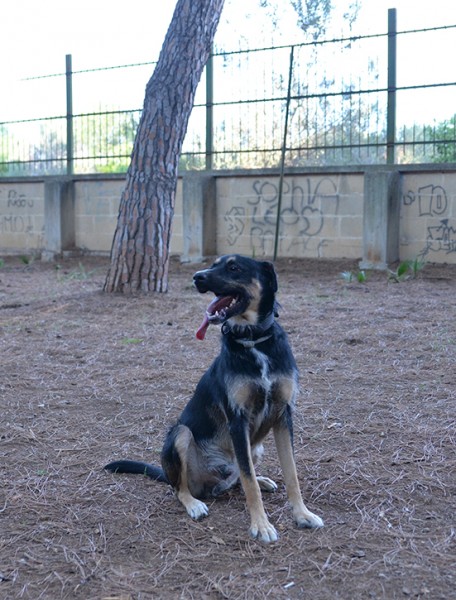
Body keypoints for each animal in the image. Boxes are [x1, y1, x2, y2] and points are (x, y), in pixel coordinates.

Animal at [105, 253, 322, 544]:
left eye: (233, 267)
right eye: (214, 263)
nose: (197, 276)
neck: (253, 341)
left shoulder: (283, 415)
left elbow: (291, 474)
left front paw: (302, 515)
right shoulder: (237, 420)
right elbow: (249, 481)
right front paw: (261, 525)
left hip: (255, 447)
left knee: (240, 475)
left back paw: (261, 480)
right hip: (181, 434)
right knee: (181, 488)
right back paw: (194, 504)